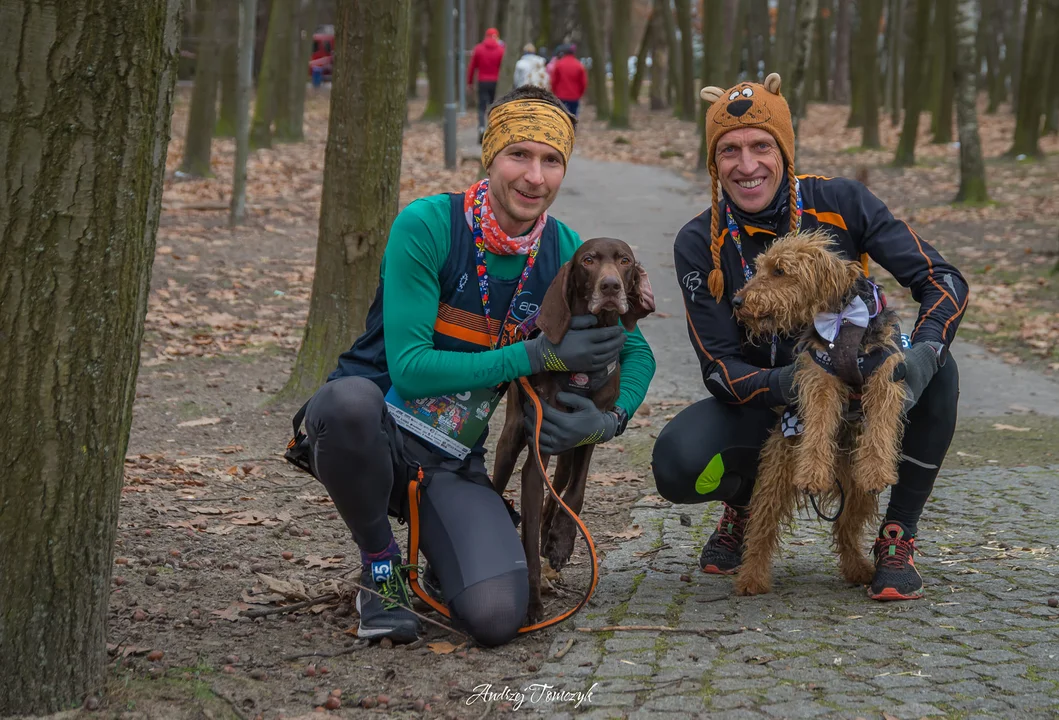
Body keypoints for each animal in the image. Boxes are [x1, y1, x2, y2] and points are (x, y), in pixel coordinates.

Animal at [489, 237, 652, 622]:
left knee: (560, 489)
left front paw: (562, 541)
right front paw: (532, 604)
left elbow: (576, 493)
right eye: (588, 260)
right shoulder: (535, 460)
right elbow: (528, 540)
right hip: (512, 438)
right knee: (501, 481)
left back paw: (553, 533)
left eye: (625, 261)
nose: (611, 287)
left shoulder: (589, 430)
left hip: (567, 447)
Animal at [732, 230, 906, 597]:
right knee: (760, 530)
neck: (843, 321)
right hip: (776, 477)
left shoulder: (885, 378)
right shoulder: (820, 379)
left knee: (845, 530)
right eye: (761, 267)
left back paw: (859, 569)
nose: (738, 302)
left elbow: (880, 429)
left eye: (780, 271)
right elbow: (818, 428)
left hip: (857, 493)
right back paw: (751, 578)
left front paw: (877, 469)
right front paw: (812, 473)